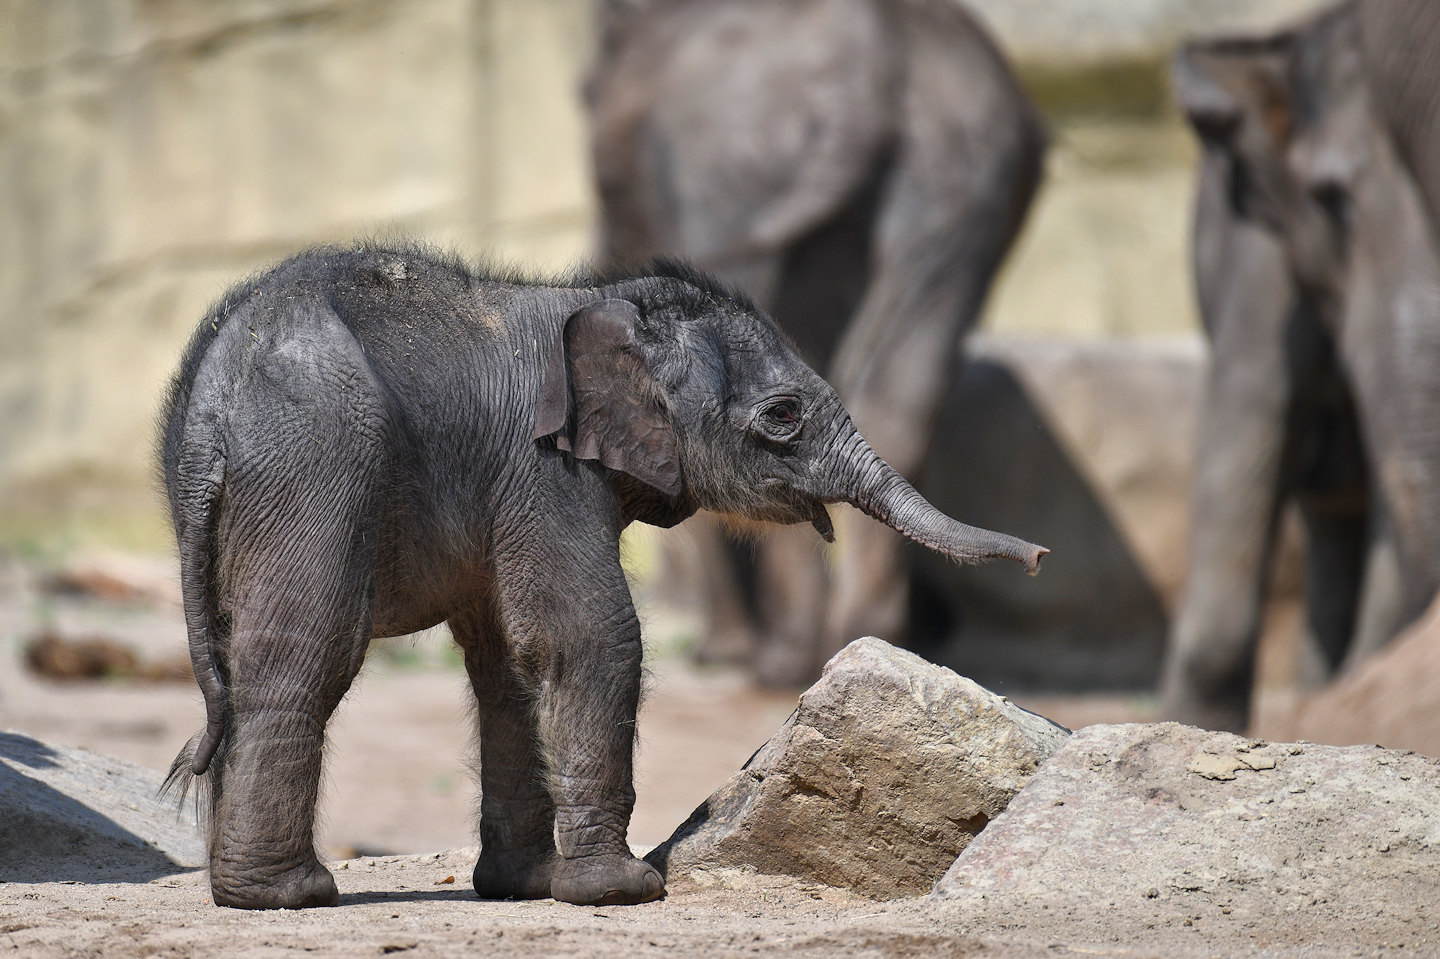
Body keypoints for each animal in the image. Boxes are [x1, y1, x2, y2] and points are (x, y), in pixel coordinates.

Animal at [160, 243, 1048, 910]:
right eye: (784, 416)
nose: (1041, 556)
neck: (603, 299)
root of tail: (207, 418)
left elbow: (510, 663)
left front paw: (528, 886)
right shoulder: (542, 467)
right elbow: (591, 634)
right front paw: (623, 889)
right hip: (315, 464)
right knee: (303, 656)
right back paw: (287, 894)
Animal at [584, 0, 1048, 682]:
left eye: (607, 182)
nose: (1040, 558)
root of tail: (868, 48)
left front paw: (720, 653)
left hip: (732, 176)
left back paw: (781, 659)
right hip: (959, 182)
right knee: (903, 396)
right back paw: (859, 636)